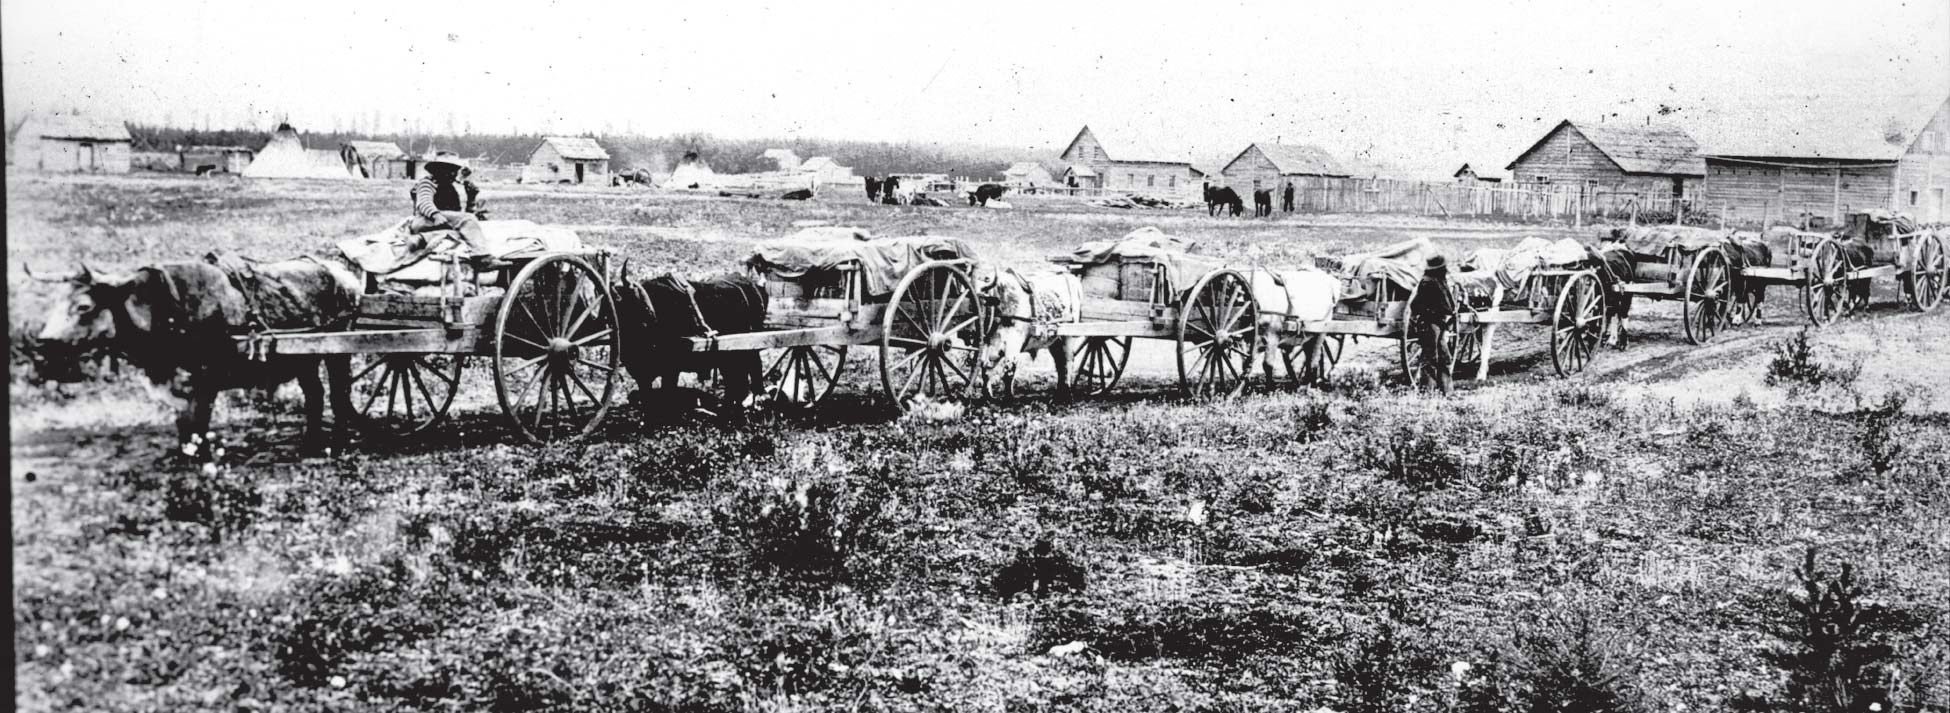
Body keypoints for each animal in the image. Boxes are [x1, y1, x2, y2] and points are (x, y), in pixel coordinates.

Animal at [28, 257, 360, 453]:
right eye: (56, 300)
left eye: (84, 306)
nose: (44, 341)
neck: (167, 309)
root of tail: (343, 274)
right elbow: (184, 429)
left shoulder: (205, 383)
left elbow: (197, 428)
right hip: (307, 359)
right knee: (316, 395)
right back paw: (310, 442)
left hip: (338, 352)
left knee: (339, 395)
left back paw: (340, 441)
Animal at [612, 264, 764, 414]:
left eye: (621, 305)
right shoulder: (640, 373)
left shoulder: (671, 369)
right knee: (735, 382)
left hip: (749, 348)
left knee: (750, 375)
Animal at [975, 268, 1084, 397]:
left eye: (980, 300)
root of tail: (1071, 277)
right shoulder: (988, 343)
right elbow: (985, 369)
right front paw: (987, 396)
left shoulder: (1014, 343)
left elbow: (1009, 372)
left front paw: (1009, 398)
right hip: (1055, 340)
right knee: (1060, 363)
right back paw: (1059, 393)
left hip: (1068, 336)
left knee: (1068, 363)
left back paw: (1067, 392)